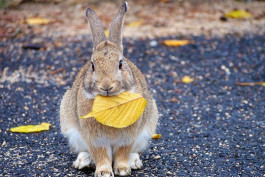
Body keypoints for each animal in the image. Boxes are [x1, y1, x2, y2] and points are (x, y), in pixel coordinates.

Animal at [59, 1, 158, 177]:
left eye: (120, 64)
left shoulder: (128, 137)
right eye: (92, 65)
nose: (106, 86)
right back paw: (84, 162)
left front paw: (123, 170)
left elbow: (123, 152)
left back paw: (133, 162)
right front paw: (104, 172)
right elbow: (101, 155)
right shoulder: (95, 139)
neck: (108, 102)